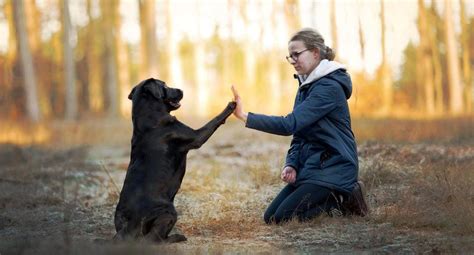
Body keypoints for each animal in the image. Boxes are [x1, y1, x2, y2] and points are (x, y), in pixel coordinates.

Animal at [113, 78, 235, 243]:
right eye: (164, 85)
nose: (181, 90)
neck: (149, 116)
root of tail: (130, 225)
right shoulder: (196, 136)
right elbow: (214, 121)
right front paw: (231, 105)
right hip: (169, 211)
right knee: (153, 239)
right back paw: (176, 237)